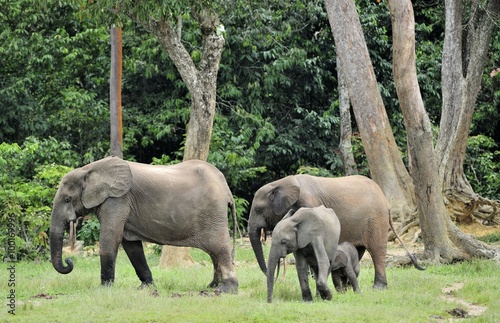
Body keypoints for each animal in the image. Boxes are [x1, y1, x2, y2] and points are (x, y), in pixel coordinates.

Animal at [50, 156, 238, 294]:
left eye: (67, 199)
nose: (68, 261)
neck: (87, 170)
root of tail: (226, 189)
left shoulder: (117, 200)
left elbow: (110, 239)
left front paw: (103, 289)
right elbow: (132, 246)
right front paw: (146, 288)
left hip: (213, 213)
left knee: (220, 247)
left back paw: (225, 290)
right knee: (214, 252)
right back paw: (212, 286)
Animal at [248, 176, 420, 290]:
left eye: (258, 210)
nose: (275, 279)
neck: (280, 183)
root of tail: (386, 201)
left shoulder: (309, 203)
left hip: (377, 219)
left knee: (376, 250)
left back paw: (378, 288)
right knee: (358, 251)